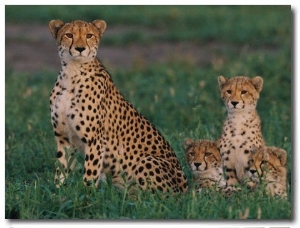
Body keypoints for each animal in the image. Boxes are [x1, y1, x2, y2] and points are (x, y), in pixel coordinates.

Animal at [48, 20, 188, 192]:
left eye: (89, 35)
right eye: (69, 35)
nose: (80, 49)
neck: (72, 73)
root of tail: (186, 188)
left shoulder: (95, 141)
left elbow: (90, 175)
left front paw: (86, 195)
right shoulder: (63, 138)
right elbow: (61, 169)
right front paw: (57, 191)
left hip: (146, 161)